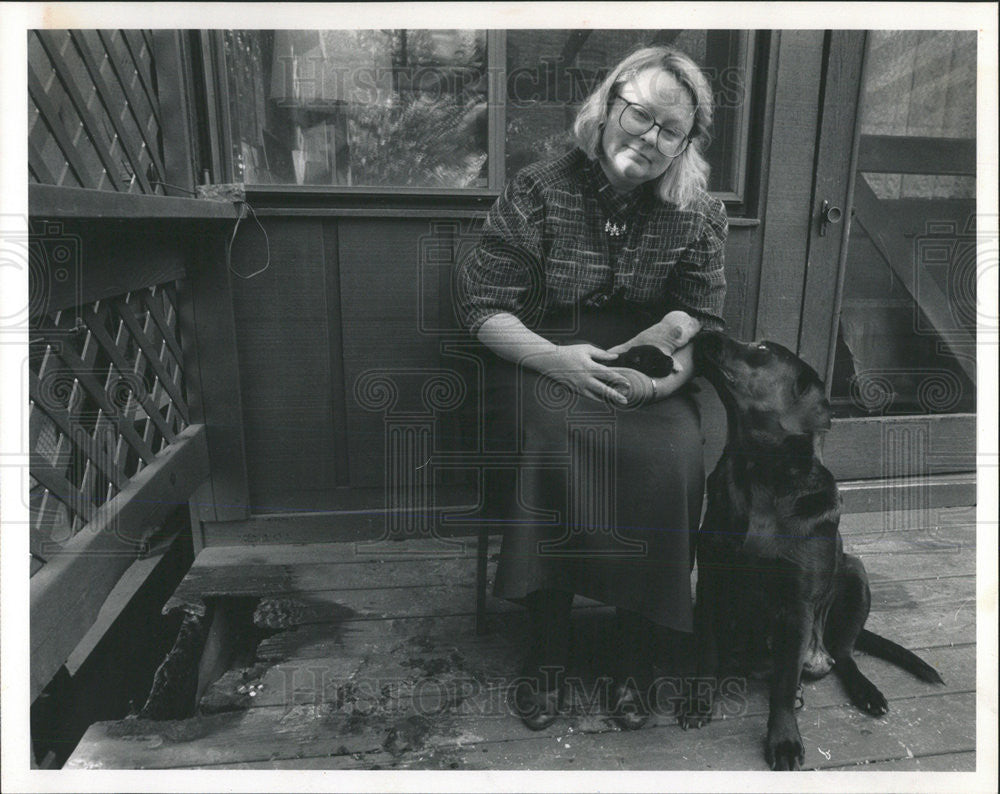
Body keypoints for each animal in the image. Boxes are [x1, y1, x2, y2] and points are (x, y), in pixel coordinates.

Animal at [684, 328, 940, 768]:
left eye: (761, 351)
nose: (705, 330)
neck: (759, 475)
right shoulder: (712, 585)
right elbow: (706, 655)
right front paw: (699, 704)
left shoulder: (797, 607)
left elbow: (784, 687)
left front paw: (784, 740)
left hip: (854, 574)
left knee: (844, 655)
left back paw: (866, 691)